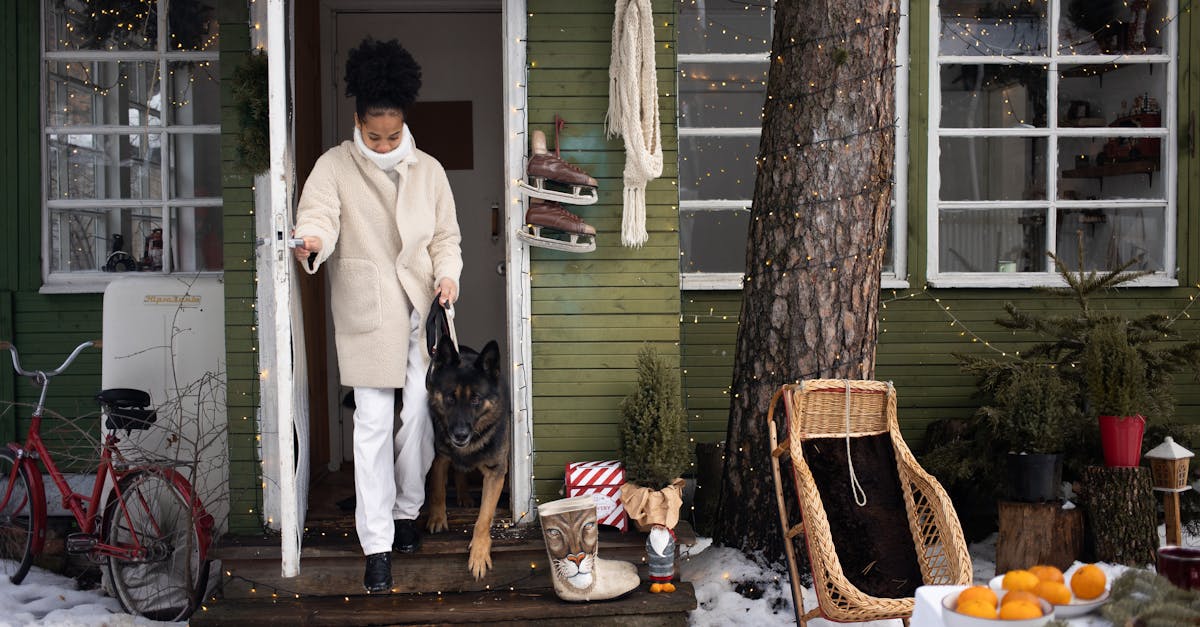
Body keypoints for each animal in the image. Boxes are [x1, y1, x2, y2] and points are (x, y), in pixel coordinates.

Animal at [424, 336, 508, 576]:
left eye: (476, 399)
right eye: (450, 398)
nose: (460, 435)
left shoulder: (495, 473)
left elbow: (484, 517)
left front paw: (479, 552)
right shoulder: (439, 458)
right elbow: (437, 490)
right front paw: (437, 518)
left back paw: (464, 496)